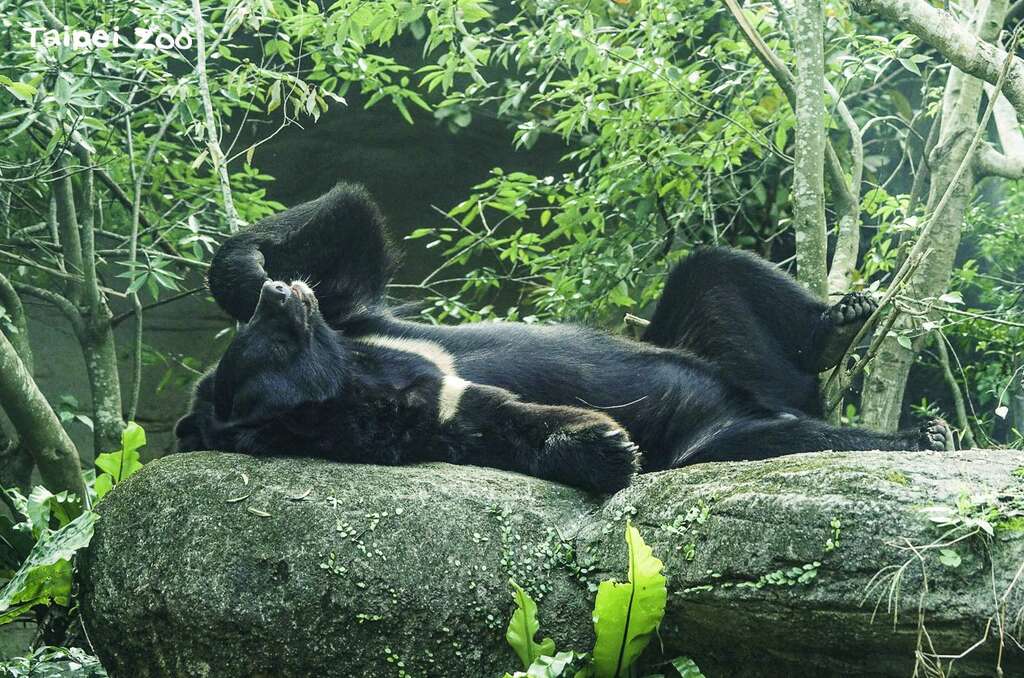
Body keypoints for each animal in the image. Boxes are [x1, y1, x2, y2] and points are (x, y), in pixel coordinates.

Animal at [175, 183, 949, 493]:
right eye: (276, 346)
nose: (283, 299)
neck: (359, 371)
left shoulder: (376, 329)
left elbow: (352, 246)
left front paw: (249, 268)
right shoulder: (425, 417)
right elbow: (503, 422)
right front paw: (608, 446)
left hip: (720, 338)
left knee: (716, 271)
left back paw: (841, 326)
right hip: (723, 428)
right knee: (770, 437)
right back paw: (919, 434)